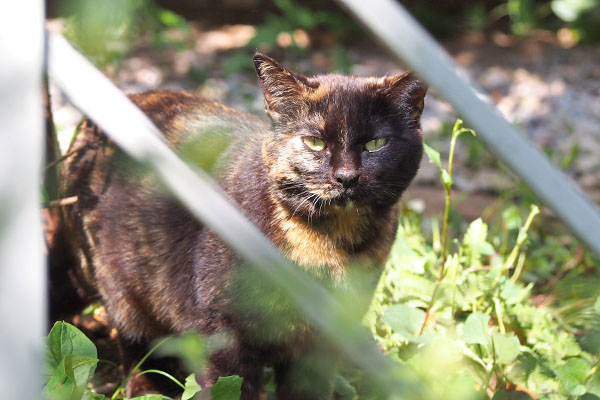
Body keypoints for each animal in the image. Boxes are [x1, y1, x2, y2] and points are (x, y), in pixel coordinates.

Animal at [58, 53, 426, 400]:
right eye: (315, 142)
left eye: (376, 144)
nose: (346, 177)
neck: (327, 248)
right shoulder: (222, 334)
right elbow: (231, 387)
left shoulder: (322, 344)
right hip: (124, 292)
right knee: (137, 349)